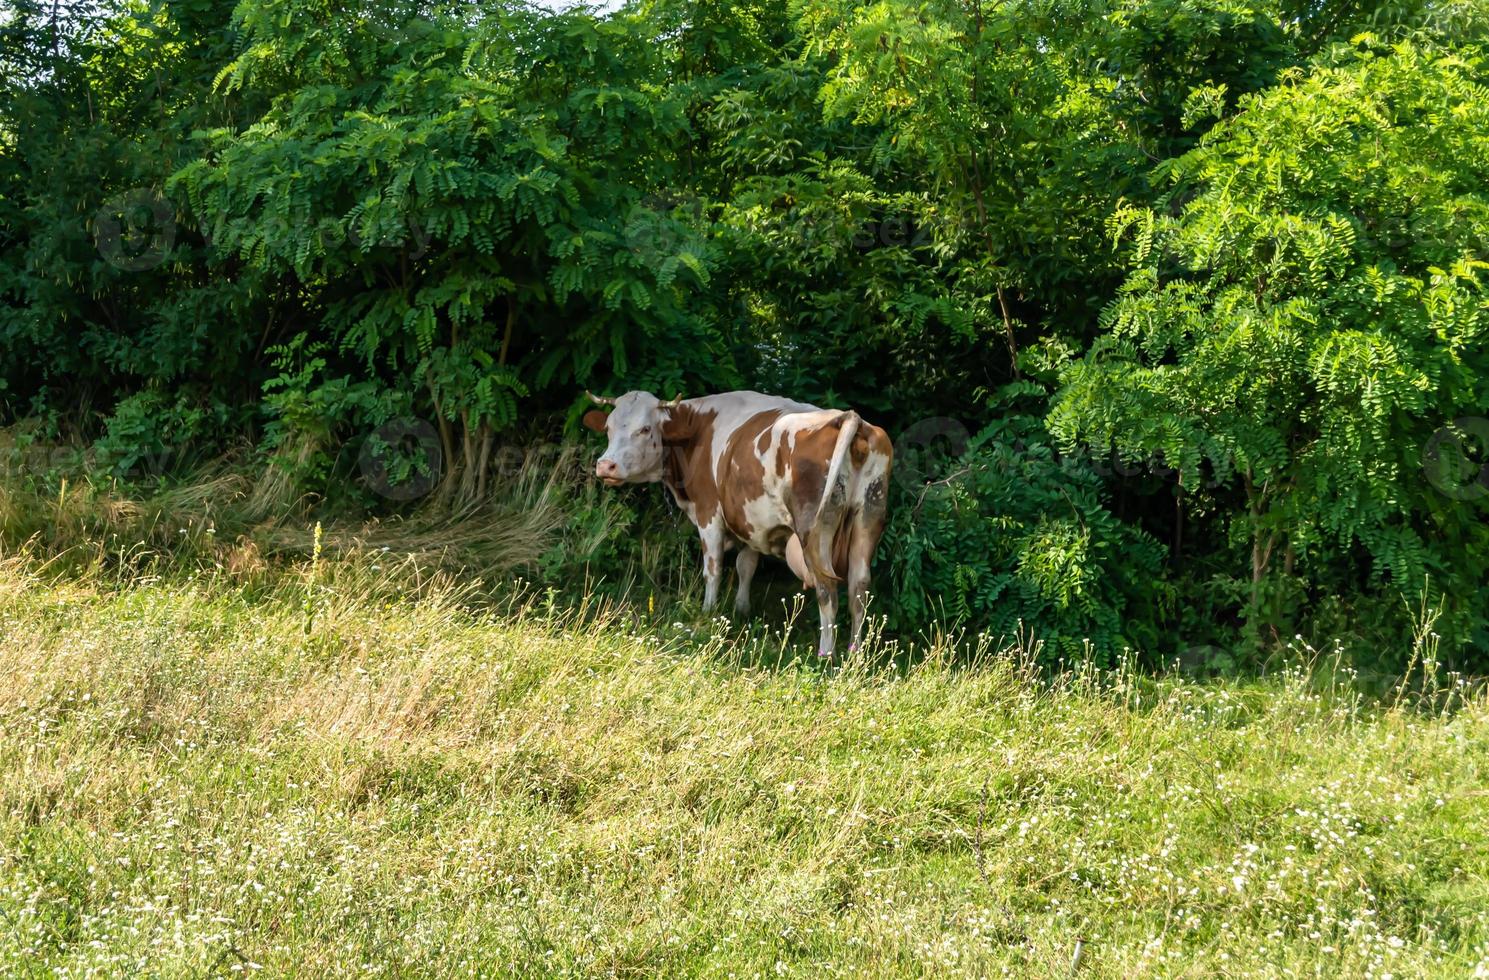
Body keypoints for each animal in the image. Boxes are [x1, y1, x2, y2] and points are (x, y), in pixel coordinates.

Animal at [577, 390, 881, 655]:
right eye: (608, 428)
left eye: (645, 429)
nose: (605, 465)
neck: (698, 428)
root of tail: (849, 418)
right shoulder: (750, 520)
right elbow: (746, 565)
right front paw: (741, 609)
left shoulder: (709, 513)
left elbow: (713, 569)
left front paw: (708, 612)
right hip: (867, 520)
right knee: (859, 589)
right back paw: (855, 654)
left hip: (815, 533)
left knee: (827, 590)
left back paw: (826, 654)